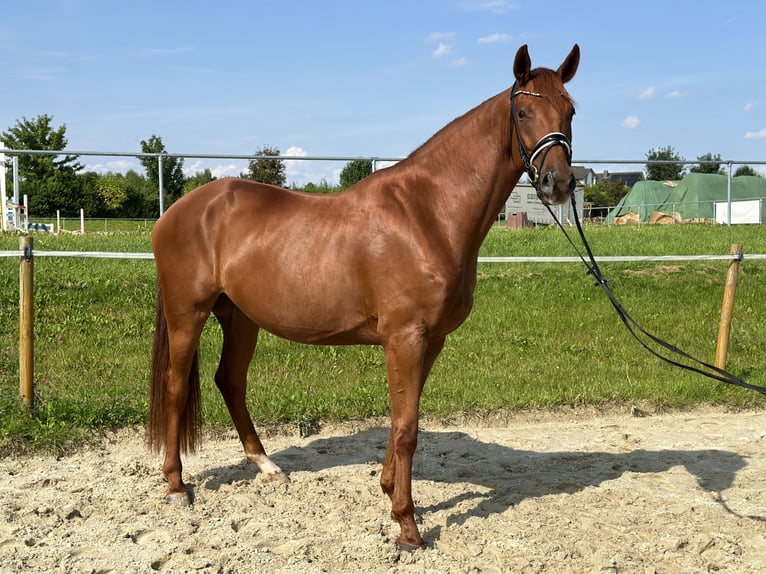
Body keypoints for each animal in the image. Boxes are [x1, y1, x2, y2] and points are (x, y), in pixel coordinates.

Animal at [148, 44, 584, 548]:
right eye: (523, 111)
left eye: (570, 111)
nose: (558, 183)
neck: (427, 214)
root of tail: (179, 210)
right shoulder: (405, 338)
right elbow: (408, 427)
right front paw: (408, 525)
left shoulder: (431, 340)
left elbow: (403, 420)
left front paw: (389, 490)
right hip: (188, 314)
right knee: (177, 386)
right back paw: (176, 485)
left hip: (241, 318)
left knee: (230, 382)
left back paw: (267, 467)